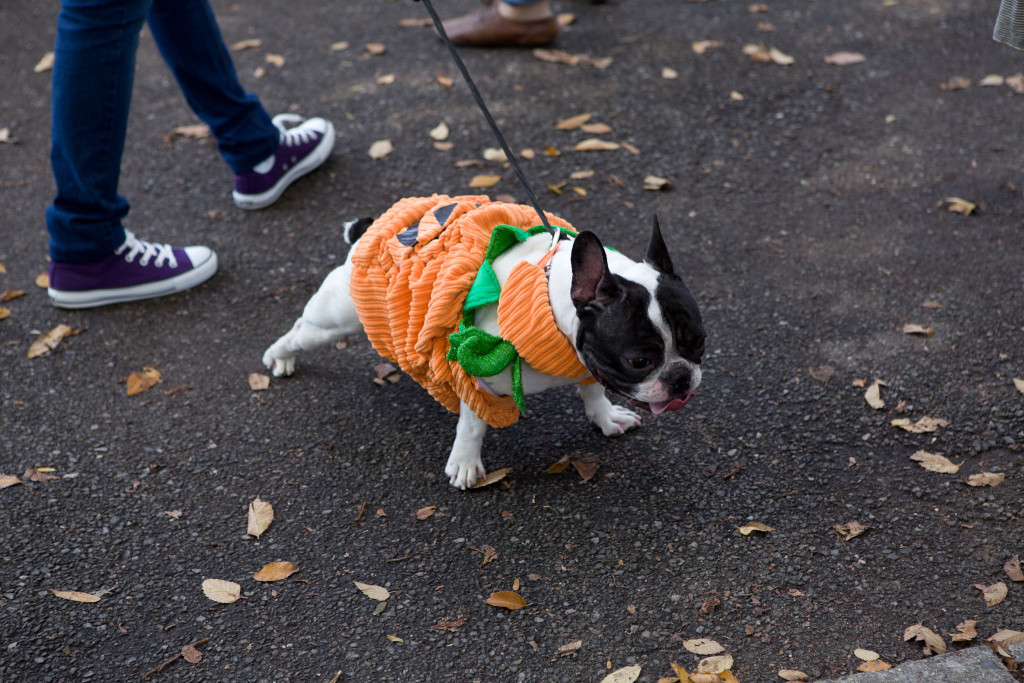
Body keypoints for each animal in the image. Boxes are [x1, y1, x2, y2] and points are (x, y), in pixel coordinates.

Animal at [262, 194, 704, 489]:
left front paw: (605, 416)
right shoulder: (470, 369)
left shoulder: (586, 362)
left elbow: (593, 389)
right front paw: (465, 463)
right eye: (638, 361)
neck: (551, 302)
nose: (681, 377)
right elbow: (472, 423)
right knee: (301, 329)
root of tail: (369, 231)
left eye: (699, 344)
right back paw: (279, 357)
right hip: (338, 316)